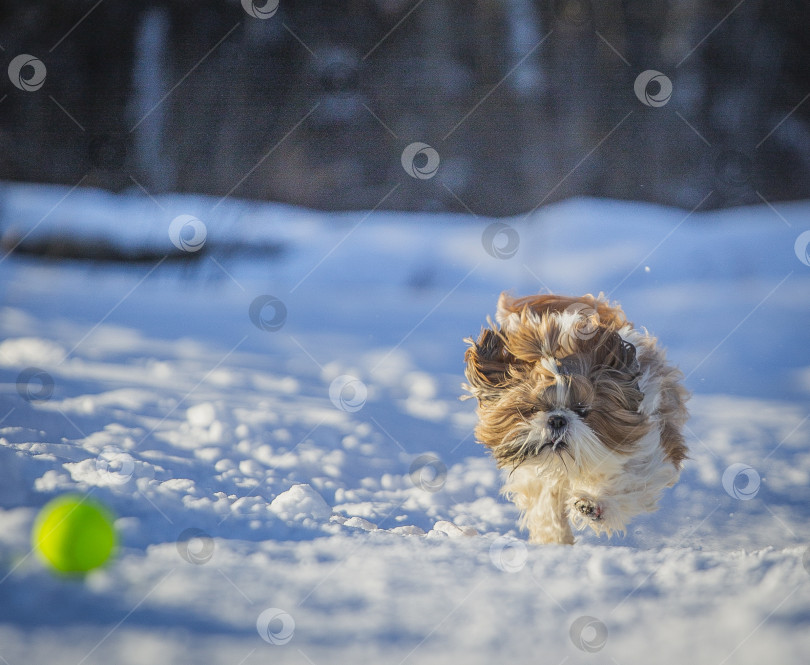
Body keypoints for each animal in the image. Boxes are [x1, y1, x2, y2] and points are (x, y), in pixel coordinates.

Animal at [464, 294, 684, 544]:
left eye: (582, 409)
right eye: (533, 408)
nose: (557, 420)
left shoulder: (650, 454)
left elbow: (628, 481)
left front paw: (592, 503)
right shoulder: (535, 477)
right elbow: (545, 506)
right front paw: (555, 540)